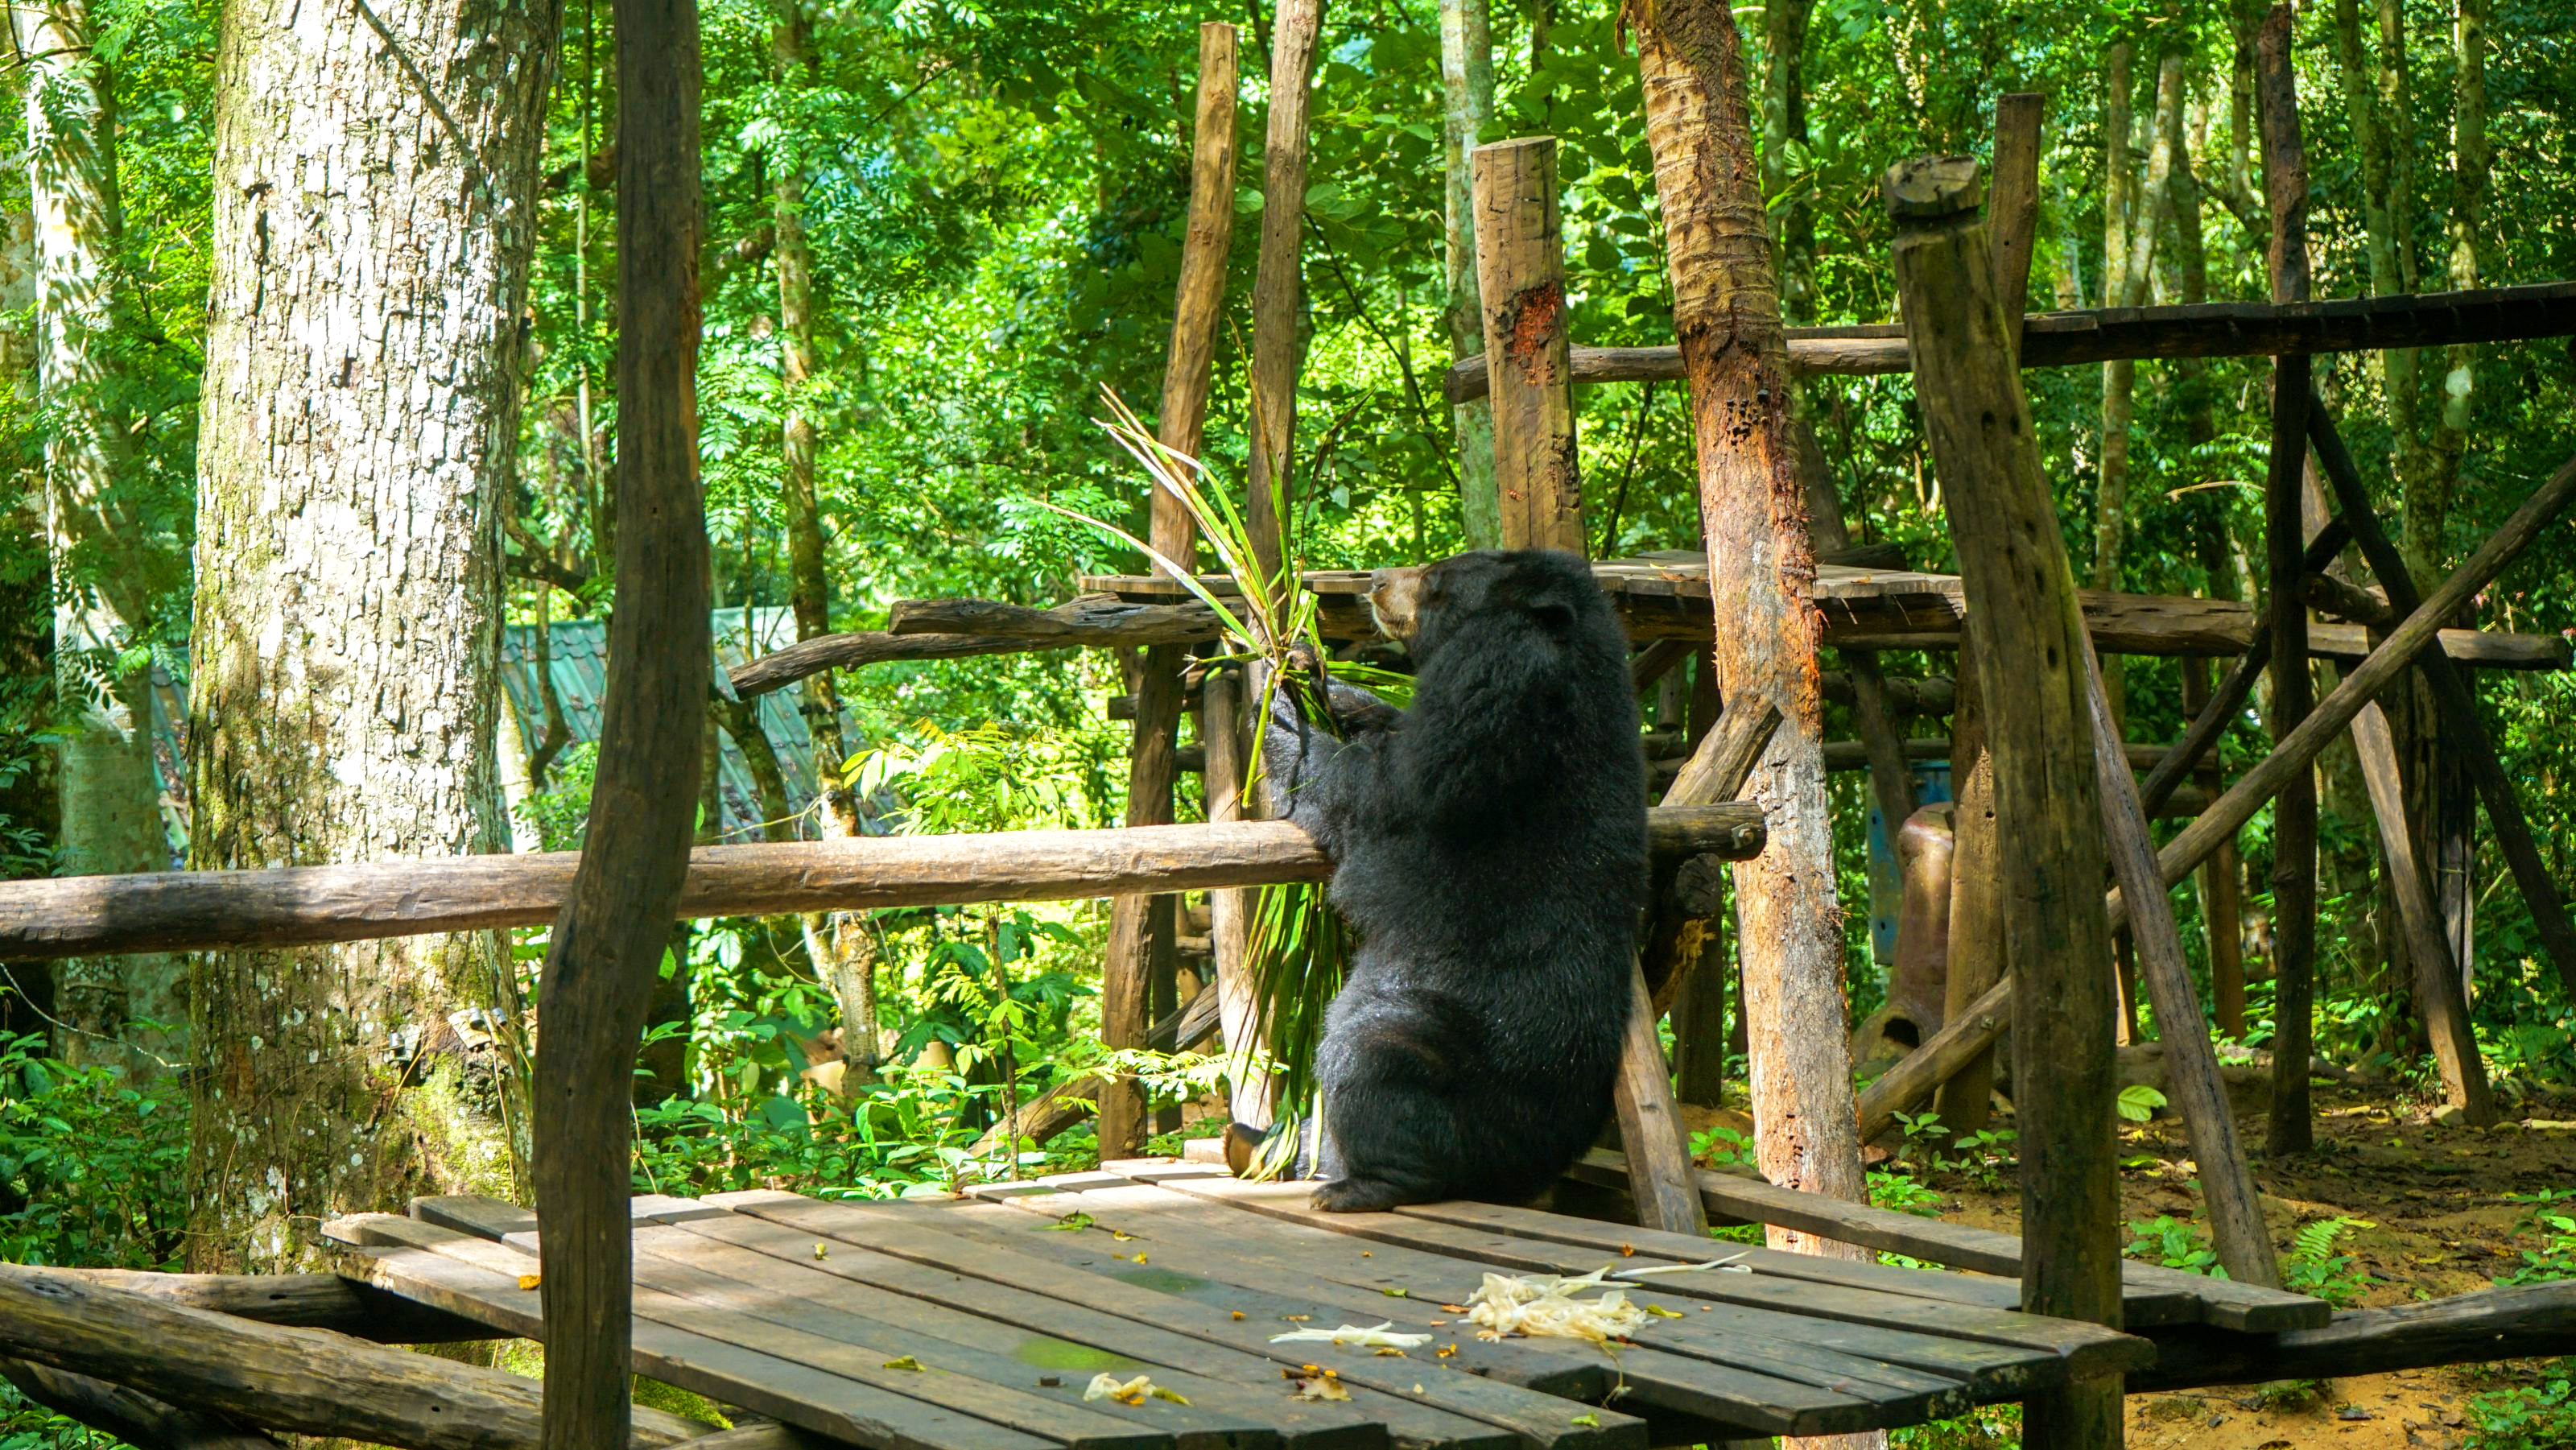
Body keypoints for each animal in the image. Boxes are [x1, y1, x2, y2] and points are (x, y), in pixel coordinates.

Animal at [1253, 548, 1648, 1212]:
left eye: (1436, 580)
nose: (1375, 580)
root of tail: (1529, 1169)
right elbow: (1384, 724)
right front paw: (1308, 665)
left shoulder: (1476, 762)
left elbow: (1373, 791)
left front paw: (1273, 686)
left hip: (1452, 1043)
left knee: (1365, 1056)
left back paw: (1355, 1184)